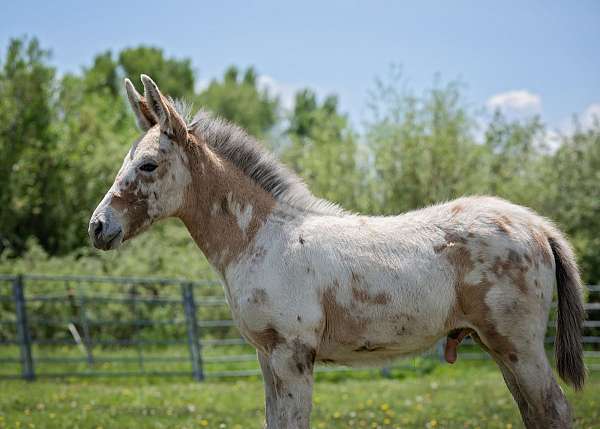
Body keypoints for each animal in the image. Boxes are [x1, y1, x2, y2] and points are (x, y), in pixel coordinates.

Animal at [90, 75, 584, 426]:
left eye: (147, 165)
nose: (97, 227)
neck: (262, 237)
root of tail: (539, 226)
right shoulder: (266, 357)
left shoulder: (291, 355)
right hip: (502, 348)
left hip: (519, 345)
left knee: (553, 411)